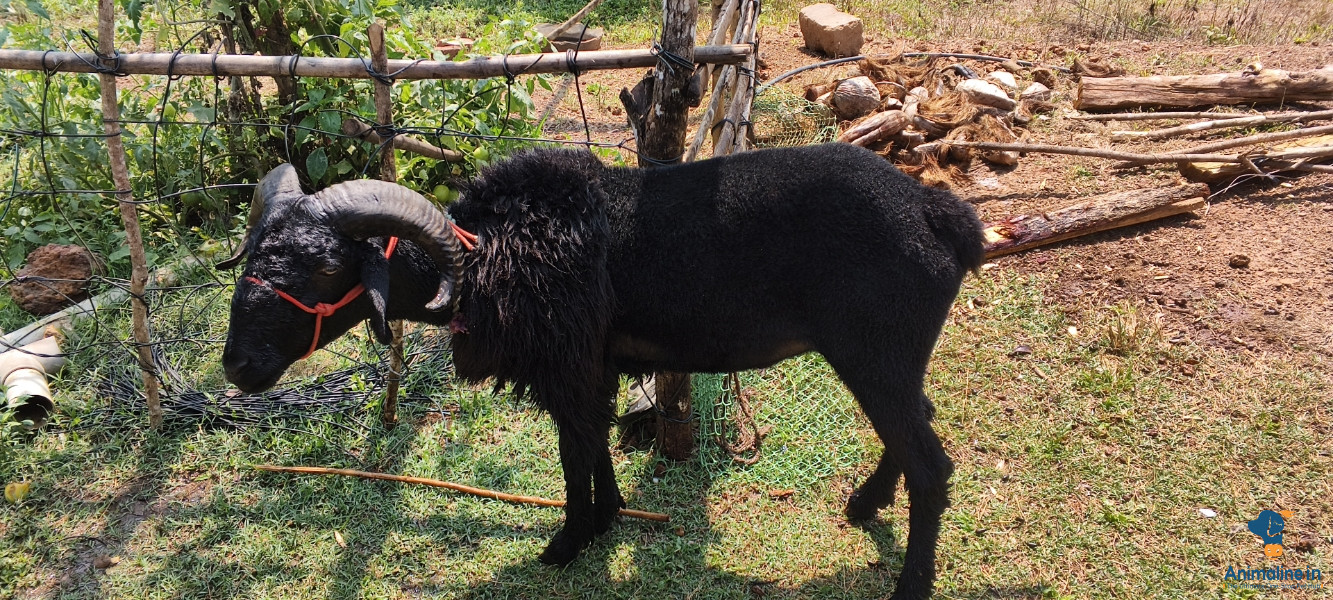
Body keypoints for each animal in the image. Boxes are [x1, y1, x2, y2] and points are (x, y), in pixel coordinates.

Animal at [218, 142, 985, 599]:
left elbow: (571, 449)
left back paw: (910, 582)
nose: (239, 366)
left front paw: (569, 540)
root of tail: (938, 212)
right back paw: (864, 505)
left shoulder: (567, 358)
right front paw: (610, 513)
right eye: (250, 254)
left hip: (875, 348)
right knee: (919, 429)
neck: (490, 249)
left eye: (325, 268)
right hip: (891, 355)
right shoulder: (592, 361)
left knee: (930, 463)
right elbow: (591, 442)